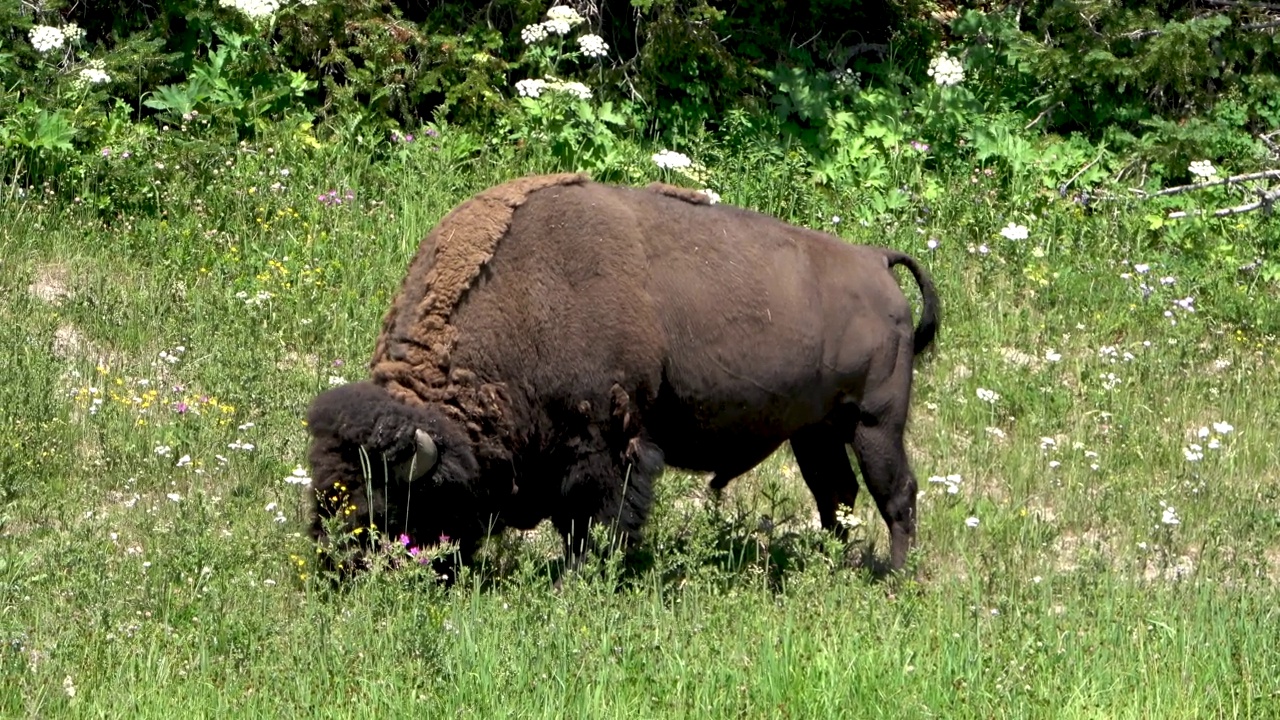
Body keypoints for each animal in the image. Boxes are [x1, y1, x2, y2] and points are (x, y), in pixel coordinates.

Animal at [303, 170, 936, 573]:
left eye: (384, 504)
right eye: (323, 489)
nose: (335, 567)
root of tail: (875, 259)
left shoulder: (610, 445)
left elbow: (595, 521)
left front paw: (582, 579)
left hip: (875, 422)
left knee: (896, 493)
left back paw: (893, 577)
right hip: (816, 433)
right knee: (837, 497)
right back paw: (837, 564)